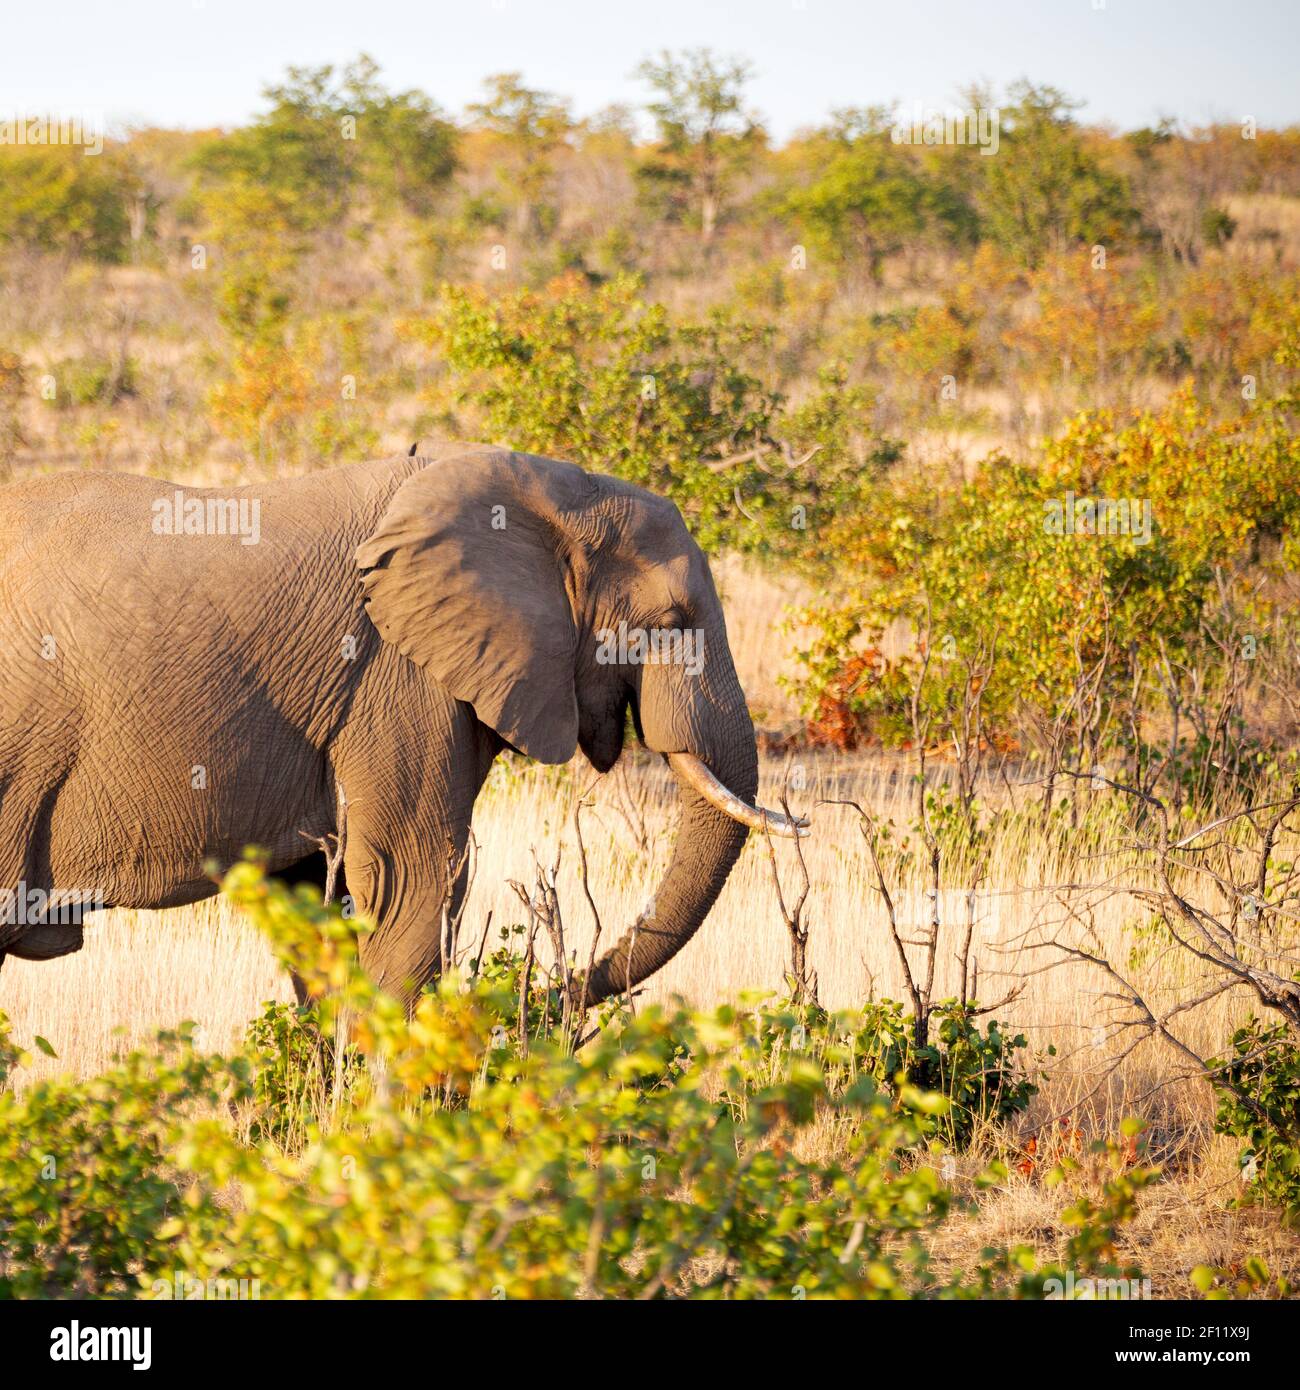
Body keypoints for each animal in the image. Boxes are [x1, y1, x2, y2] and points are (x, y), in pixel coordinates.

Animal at [0, 445, 805, 1010]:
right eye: (671, 621)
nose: (545, 1002)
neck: (540, 492)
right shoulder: (398, 678)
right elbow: (411, 883)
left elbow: (322, 905)